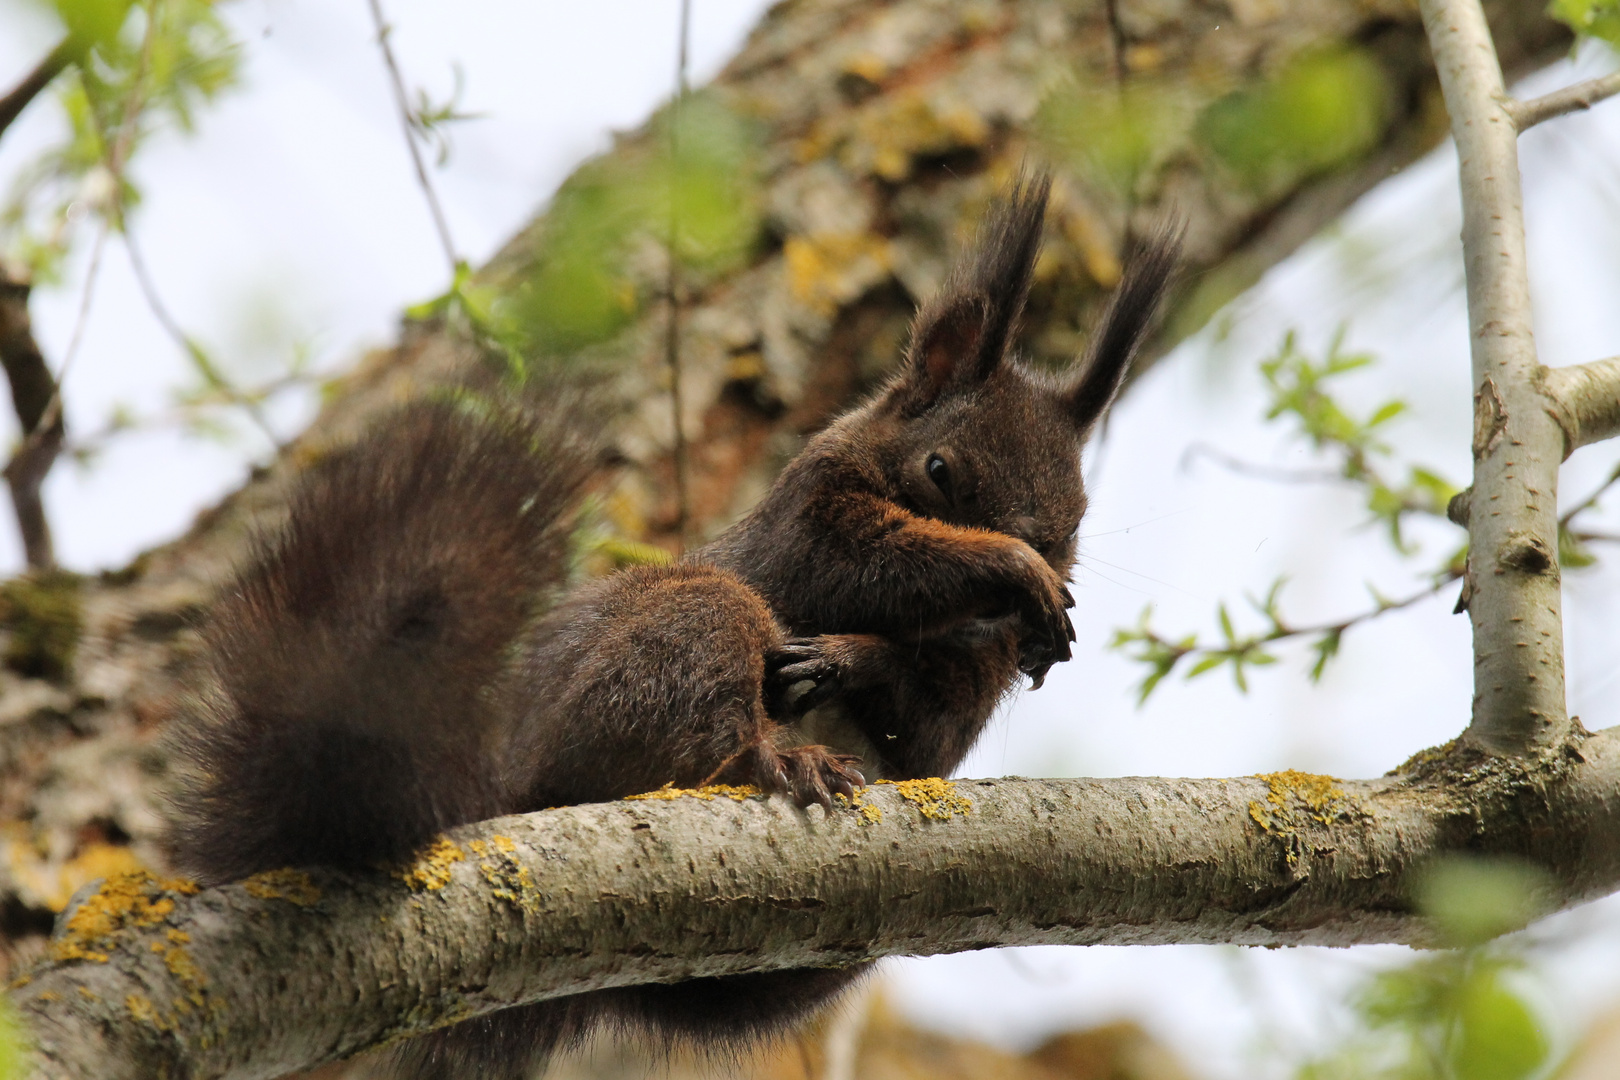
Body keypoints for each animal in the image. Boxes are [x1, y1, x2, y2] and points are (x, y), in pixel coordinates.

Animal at [164, 173, 1179, 1075]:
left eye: (1072, 531)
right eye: (939, 471)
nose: (1029, 582)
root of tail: (507, 785)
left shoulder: (960, 695)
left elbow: (925, 723)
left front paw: (869, 655)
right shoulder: (808, 517)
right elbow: (868, 558)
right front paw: (992, 574)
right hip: (680, 628)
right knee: (699, 720)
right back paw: (776, 762)